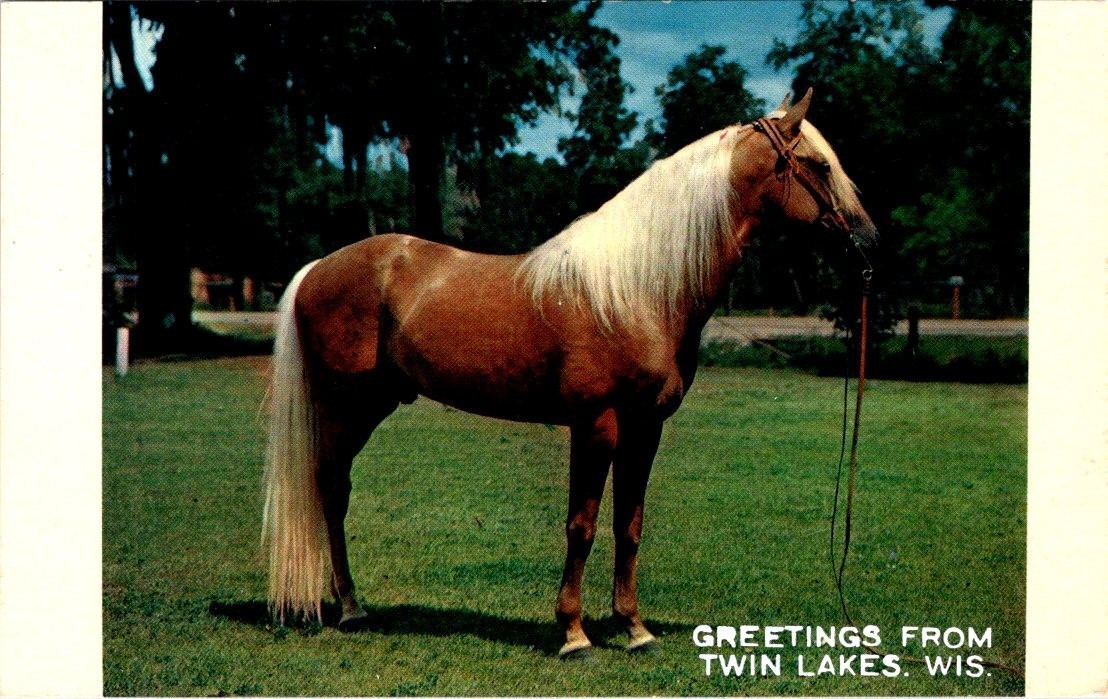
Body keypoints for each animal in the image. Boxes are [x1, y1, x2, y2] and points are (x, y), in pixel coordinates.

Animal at [262, 90, 876, 657]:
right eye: (820, 165)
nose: (869, 244)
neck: (636, 290)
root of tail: (319, 267)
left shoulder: (645, 428)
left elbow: (629, 525)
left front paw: (634, 629)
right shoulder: (596, 423)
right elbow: (581, 526)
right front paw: (574, 634)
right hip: (346, 408)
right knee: (331, 490)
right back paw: (350, 607)